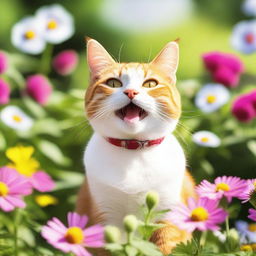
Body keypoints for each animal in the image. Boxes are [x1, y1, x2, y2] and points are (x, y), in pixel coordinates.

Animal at [76, 37, 196, 255]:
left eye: (150, 84)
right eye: (113, 83)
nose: (131, 91)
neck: (133, 150)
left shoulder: (169, 217)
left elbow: (166, 247)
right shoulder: (104, 216)